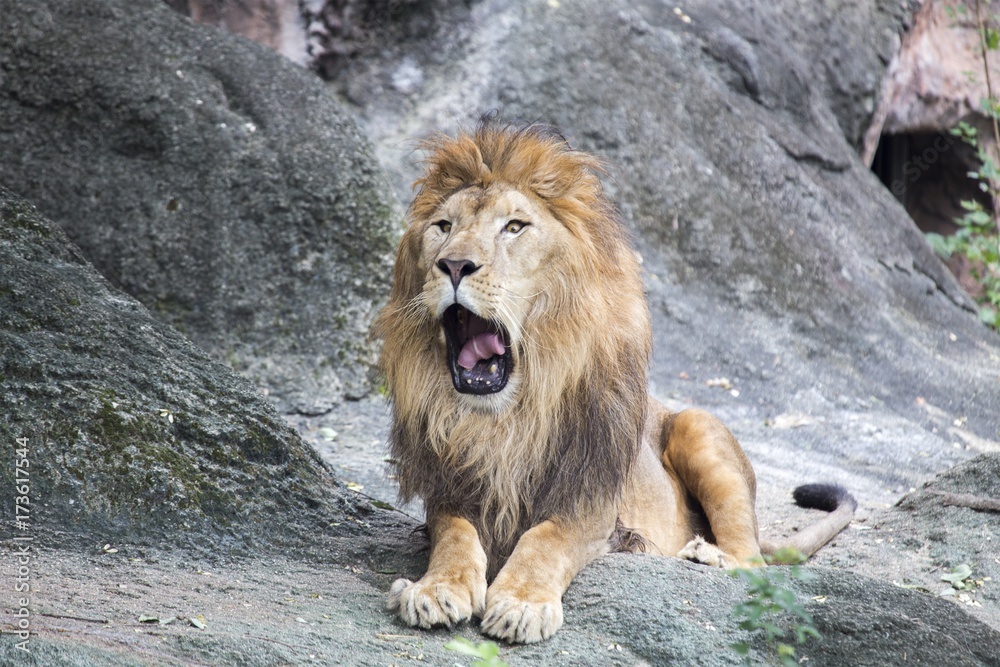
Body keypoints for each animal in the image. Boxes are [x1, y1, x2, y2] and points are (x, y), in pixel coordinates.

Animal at [373, 116, 856, 644]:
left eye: (514, 227)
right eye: (444, 227)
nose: (455, 265)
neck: (505, 421)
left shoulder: (590, 501)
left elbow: (545, 539)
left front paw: (522, 603)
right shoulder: (449, 488)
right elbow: (455, 535)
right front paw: (435, 589)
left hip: (697, 427)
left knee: (753, 563)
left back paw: (706, 554)